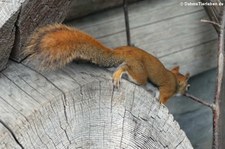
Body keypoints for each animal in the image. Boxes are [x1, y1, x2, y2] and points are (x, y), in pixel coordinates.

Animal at [24, 23, 190, 104]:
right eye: (188, 86)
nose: (187, 94)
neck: (175, 79)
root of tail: (127, 51)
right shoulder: (168, 90)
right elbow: (162, 99)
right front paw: (162, 105)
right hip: (140, 73)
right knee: (127, 68)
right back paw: (118, 74)